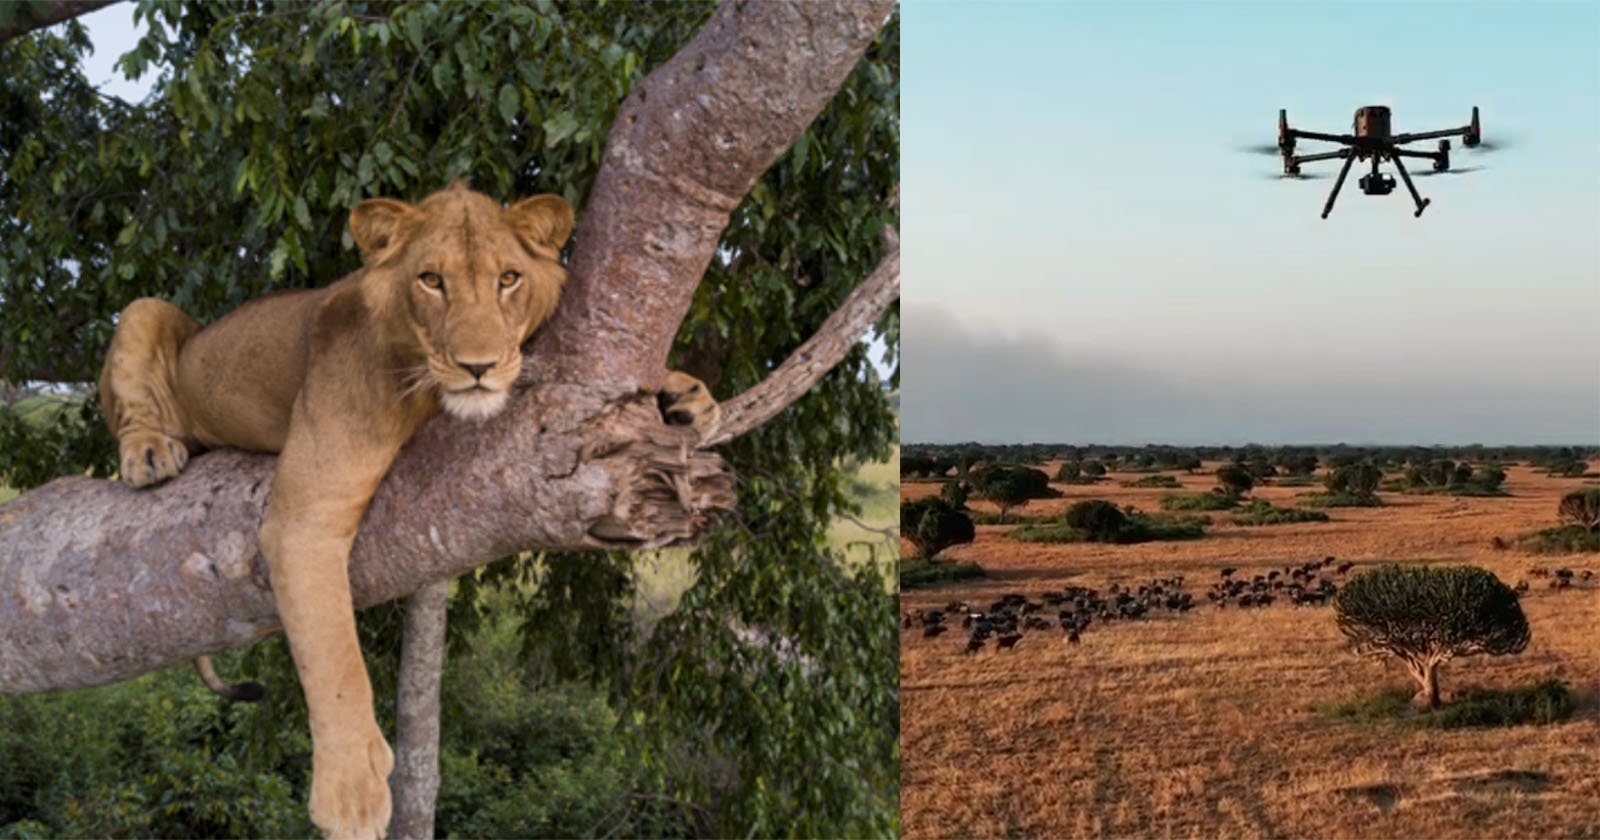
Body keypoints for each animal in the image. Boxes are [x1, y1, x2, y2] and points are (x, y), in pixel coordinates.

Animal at [98, 184, 720, 838]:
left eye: (508, 279)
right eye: (430, 281)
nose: (479, 367)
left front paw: (685, 396)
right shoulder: (305, 518)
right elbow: (334, 658)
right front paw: (350, 792)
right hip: (144, 312)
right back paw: (150, 451)